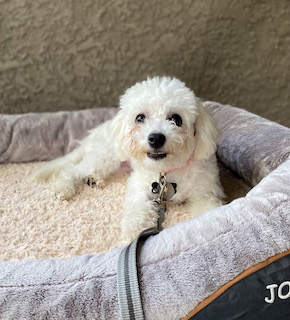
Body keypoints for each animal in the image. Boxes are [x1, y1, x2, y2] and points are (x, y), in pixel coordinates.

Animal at [33, 77, 224, 241]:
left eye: (176, 119)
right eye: (140, 117)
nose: (156, 138)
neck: (168, 171)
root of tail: (97, 131)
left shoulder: (205, 192)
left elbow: (209, 209)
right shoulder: (140, 186)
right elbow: (138, 209)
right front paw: (135, 232)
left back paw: (94, 180)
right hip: (107, 156)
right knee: (72, 169)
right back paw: (64, 188)